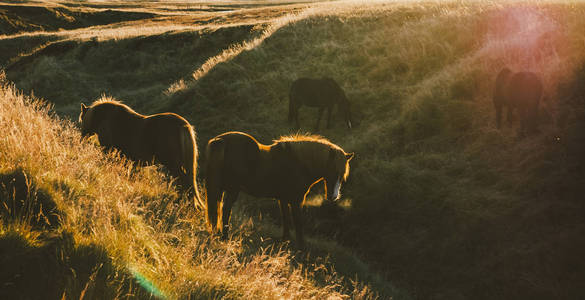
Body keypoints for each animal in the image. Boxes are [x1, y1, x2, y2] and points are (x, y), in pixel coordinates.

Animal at [205, 131, 352, 246]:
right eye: (333, 171)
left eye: (342, 175)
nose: (333, 197)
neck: (299, 163)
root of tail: (221, 141)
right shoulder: (296, 200)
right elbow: (298, 222)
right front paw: (301, 247)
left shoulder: (283, 199)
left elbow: (286, 219)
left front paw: (285, 241)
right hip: (232, 190)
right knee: (226, 210)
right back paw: (225, 237)